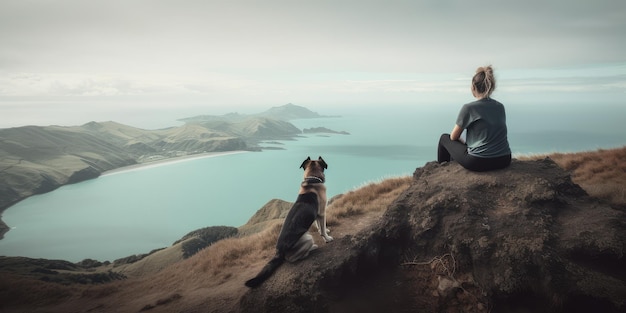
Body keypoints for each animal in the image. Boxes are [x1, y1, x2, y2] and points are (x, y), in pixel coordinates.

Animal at [243, 156, 332, 288]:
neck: (312, 180)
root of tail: (279, 252)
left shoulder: (316, 214)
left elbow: (319, 227)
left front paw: (326, 230)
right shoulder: (321, 212)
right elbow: (321, 229)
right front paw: (327, 238)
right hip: (307, 238)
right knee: (292, 259)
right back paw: (313, 247)